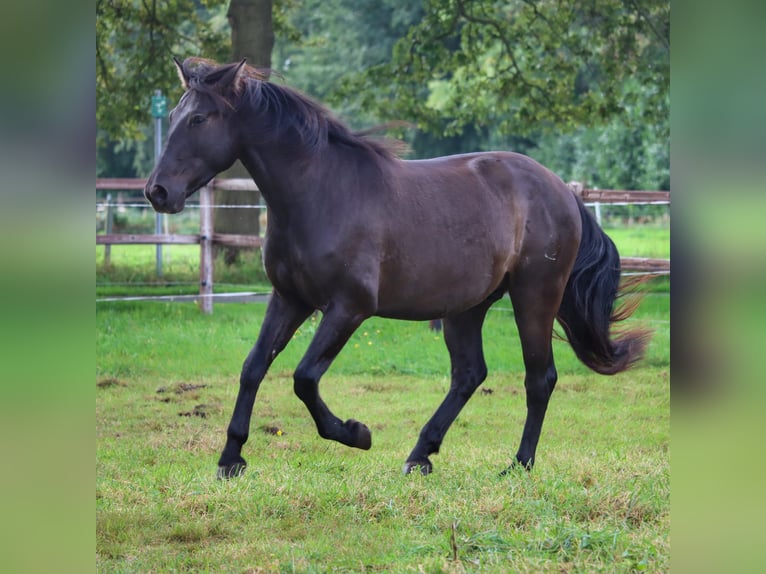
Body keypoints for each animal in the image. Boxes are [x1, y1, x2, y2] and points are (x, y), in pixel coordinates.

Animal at [145, 57, 650, 478]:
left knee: (539, 379)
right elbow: (253, 367)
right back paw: (420, 456)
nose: (157, 192)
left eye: (199, 118)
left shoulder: (349, 307)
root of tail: (561, 190)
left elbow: (304, 378)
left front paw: (356, 433)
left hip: (535, 297)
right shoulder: (290, 299)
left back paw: (518, 465)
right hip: (466, 308)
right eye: (173, 117)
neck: (319, 193)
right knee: (469, 375)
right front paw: (231, 459)